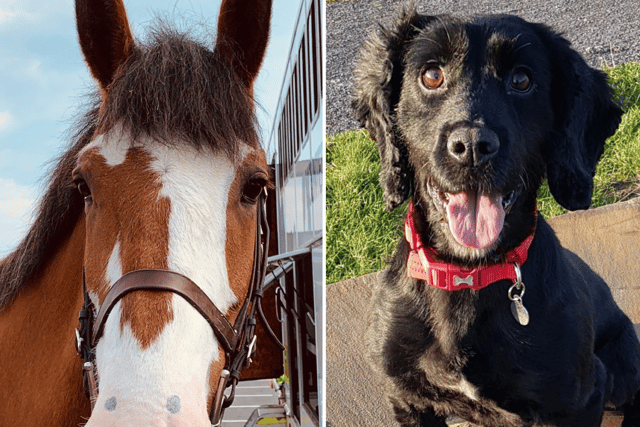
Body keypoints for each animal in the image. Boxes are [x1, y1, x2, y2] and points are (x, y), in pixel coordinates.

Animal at [352, 4, 640, 427]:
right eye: (431, 75)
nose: (472, 145)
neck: (468, 275)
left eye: (521, 80)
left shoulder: (580, 398)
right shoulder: (408, 399)